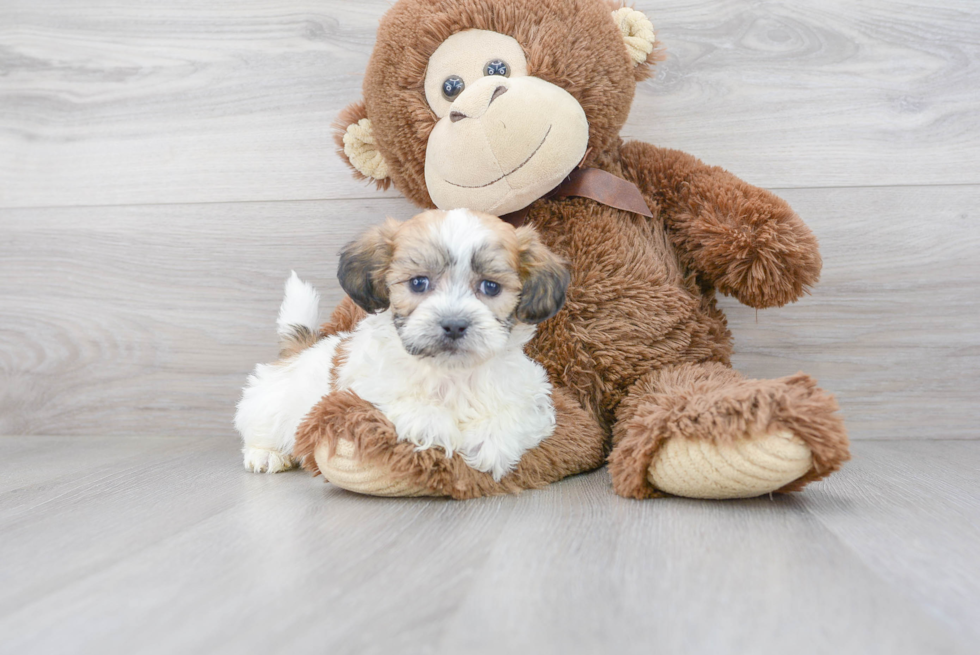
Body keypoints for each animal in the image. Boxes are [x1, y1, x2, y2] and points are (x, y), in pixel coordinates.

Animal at [236, 209, 572, 482]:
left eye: (490, 287)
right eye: (418, 283)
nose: (454, 324)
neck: (451, 373)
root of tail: (303, 349)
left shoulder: (531, 394)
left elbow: (516, 413)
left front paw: (490, 443)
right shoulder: (364, 388)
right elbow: (403, 401)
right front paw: (437, 427)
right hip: (271, 404)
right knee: (258, 426)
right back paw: (266, 454)